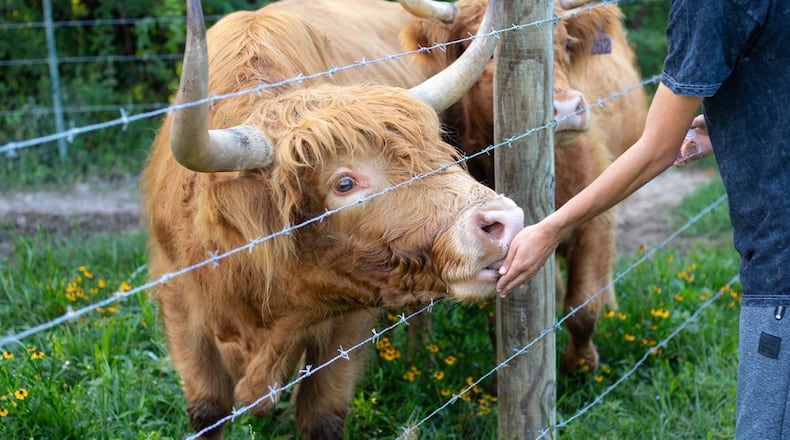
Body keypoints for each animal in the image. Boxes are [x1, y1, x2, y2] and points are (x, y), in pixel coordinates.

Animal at [140, 0, 521, 438]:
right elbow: (207, 409)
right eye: (344, 183)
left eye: (438, 152)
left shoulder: (347, 322)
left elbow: (322, 415)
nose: (504, 220)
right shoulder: (181, 304)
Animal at [399, 0, 648, 373]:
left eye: (566, 44)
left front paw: (581, 364)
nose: (566, 109)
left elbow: (584, 306)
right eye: (483, 52)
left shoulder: (596, 220)